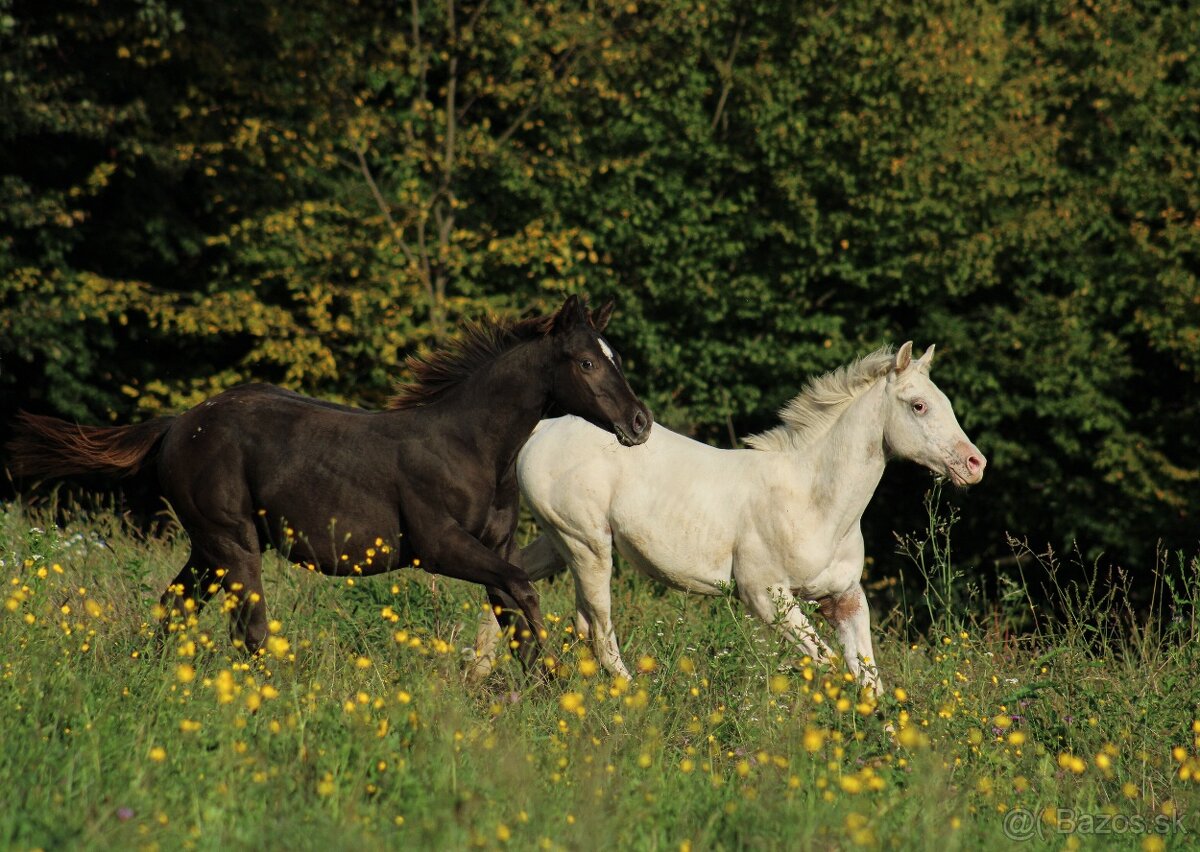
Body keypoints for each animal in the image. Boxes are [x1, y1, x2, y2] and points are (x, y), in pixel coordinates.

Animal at [7, 297, 648, 672]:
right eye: (587, 363)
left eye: (614, 355)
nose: (639, 423)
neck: (472, 446)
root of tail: (177, 425)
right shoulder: (441, 548)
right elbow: (525, 595)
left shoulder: (494, 547)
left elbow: (512, 612)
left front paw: (545, 695)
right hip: (232, 543)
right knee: (248, 630)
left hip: (209, 549)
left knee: (176, 610)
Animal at [468, 343, 984, 696]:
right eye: (918, 405)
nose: (975, 464)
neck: (814, 500)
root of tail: (541, 428)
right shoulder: (765, 596)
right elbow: (828, 666)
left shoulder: (844, 599)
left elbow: (868, 681)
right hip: (587, 545)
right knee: (598, 628)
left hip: (561, 544)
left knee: (513, 585)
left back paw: (477, 674)